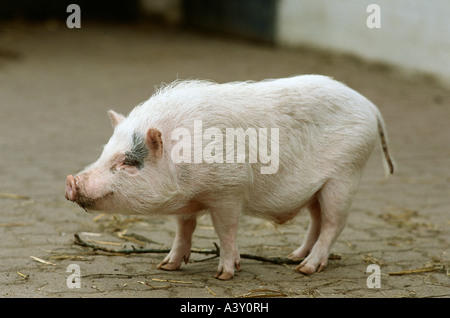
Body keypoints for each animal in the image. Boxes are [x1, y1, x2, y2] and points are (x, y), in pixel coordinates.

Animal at [66, 74, 394, 278]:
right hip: (317, 187)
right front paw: (166, 266)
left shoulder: (228, 191)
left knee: (334, 224)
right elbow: (184, 228)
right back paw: (293, 257)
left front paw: (224, 274)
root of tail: (370, 105)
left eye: (129, 162)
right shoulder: (188, 201)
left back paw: (306, 269)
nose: (71, 182)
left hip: (345, 174)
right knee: (316, 220)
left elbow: (225, 231)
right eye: (105, 151)